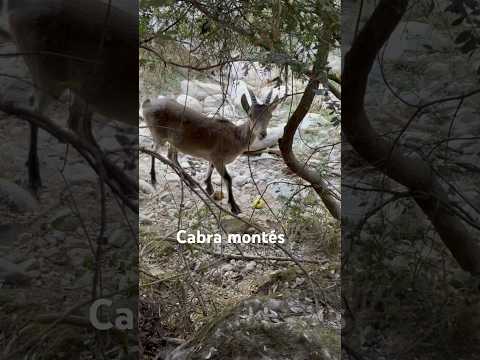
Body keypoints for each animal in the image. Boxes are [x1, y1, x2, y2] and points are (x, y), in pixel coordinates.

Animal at [0, 0, 138, 191]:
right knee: (36, 111)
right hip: (46, 69)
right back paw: (34, 176)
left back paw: (120, 181)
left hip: (83, 88)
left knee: (76, 124)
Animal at [141, 89, 280, 214]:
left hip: (174, 142)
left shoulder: (213, 157)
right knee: (153, 150)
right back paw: (153, 178)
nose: (262, 134)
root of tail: (147, 104)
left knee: (171, 156)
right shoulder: (218, 158)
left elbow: (211, 167)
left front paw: (208, 187)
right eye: (250, 115)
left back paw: (190, 181)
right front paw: (234, 207)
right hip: (159, 135)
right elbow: (228, 178)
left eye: (270, 116)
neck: (235, 137)